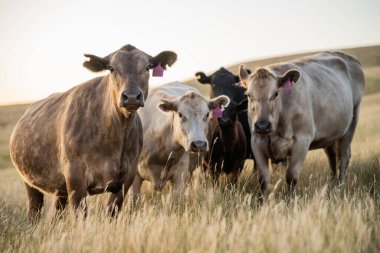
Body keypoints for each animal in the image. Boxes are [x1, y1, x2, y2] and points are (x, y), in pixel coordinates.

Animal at [8, 44, 178, 218]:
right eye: (111, 68)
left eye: (147, 67)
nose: (131, 96)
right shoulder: (75, 177)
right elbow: (80, 215)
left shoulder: (126, 178)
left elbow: (112, 212)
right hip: (29, 181)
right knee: (34, 210)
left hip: (59, 187)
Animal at [240, 51, 366, 202]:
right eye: (248, 95)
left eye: (276, 93)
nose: (262, 125)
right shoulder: (256, 142)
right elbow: (263, 179)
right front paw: (261, 203)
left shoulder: (302, 140)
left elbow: (291, 176)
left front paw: (289, 201)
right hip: (330, 135)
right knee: (332, 158)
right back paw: (333, 185)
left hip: (352, 122)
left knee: (342, 157)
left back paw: (339, 188)